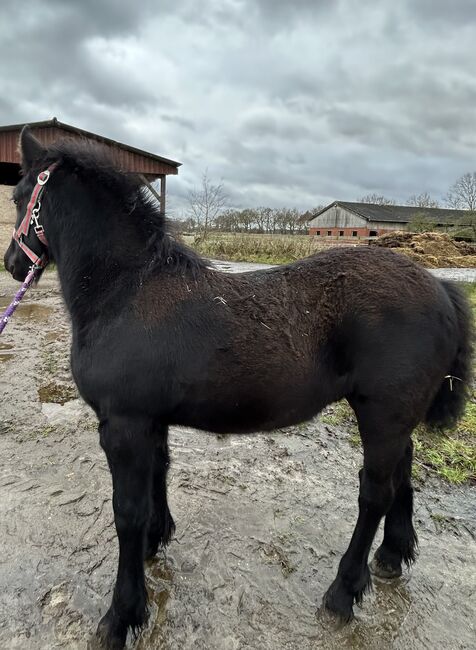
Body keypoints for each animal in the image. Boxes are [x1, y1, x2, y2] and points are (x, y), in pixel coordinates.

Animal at [3, 125, 472, 644]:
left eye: (20, 197)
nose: (12, 264)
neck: (126, 292)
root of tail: (440, 287)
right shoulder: (150, 421)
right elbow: (158, 478)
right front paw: (155, 541)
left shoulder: (123, 425)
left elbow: (127, 512)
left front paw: (122, 615)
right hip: (395, 415)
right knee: (403, 470)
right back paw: (392, 555)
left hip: (381, 413)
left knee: (375, 494)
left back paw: (344, 592)